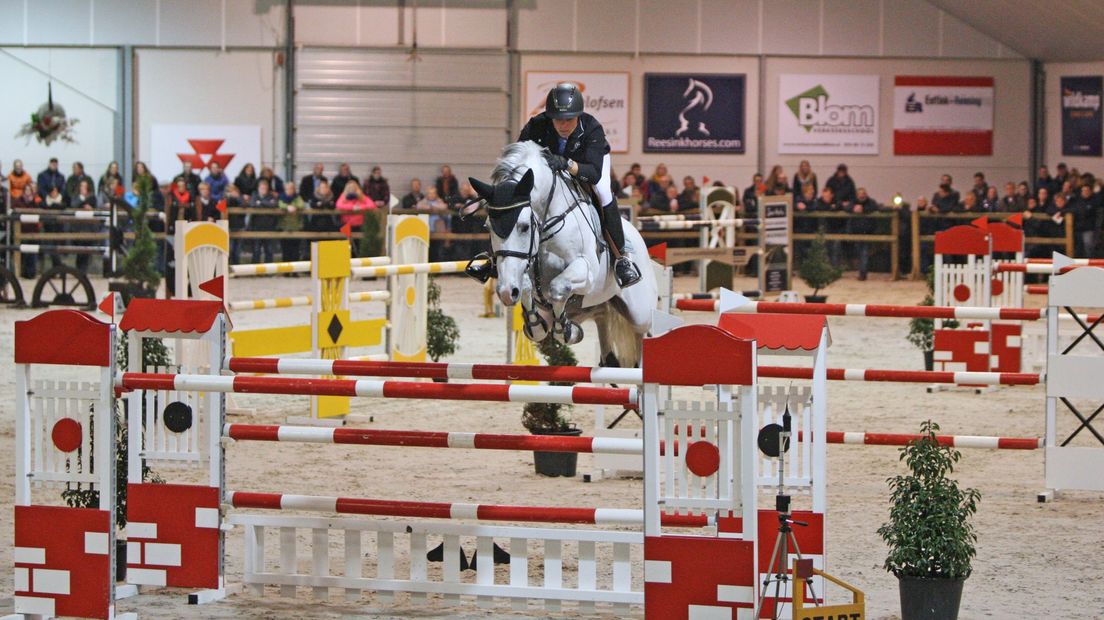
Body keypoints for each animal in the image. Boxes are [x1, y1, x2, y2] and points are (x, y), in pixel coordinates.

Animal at [468, 141, 653, 366]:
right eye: (488, 227)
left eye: (524, 227)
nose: (505, 291)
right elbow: (528, 287)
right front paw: (540, 326)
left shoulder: (586, 269)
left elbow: (558, 286)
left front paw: (565, 329)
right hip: (599, 305)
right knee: (601, 316)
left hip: (640, 313)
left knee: (642, 334)